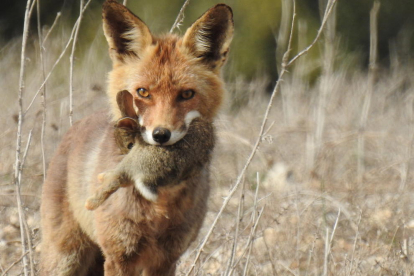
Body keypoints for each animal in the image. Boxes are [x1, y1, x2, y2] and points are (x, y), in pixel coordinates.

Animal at [40, 0, 234, 276]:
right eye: (143, 92)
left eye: (186, 94)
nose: (161, 135)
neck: (159, 205)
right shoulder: (120, 255)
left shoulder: (166, 259)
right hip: (65, 258)